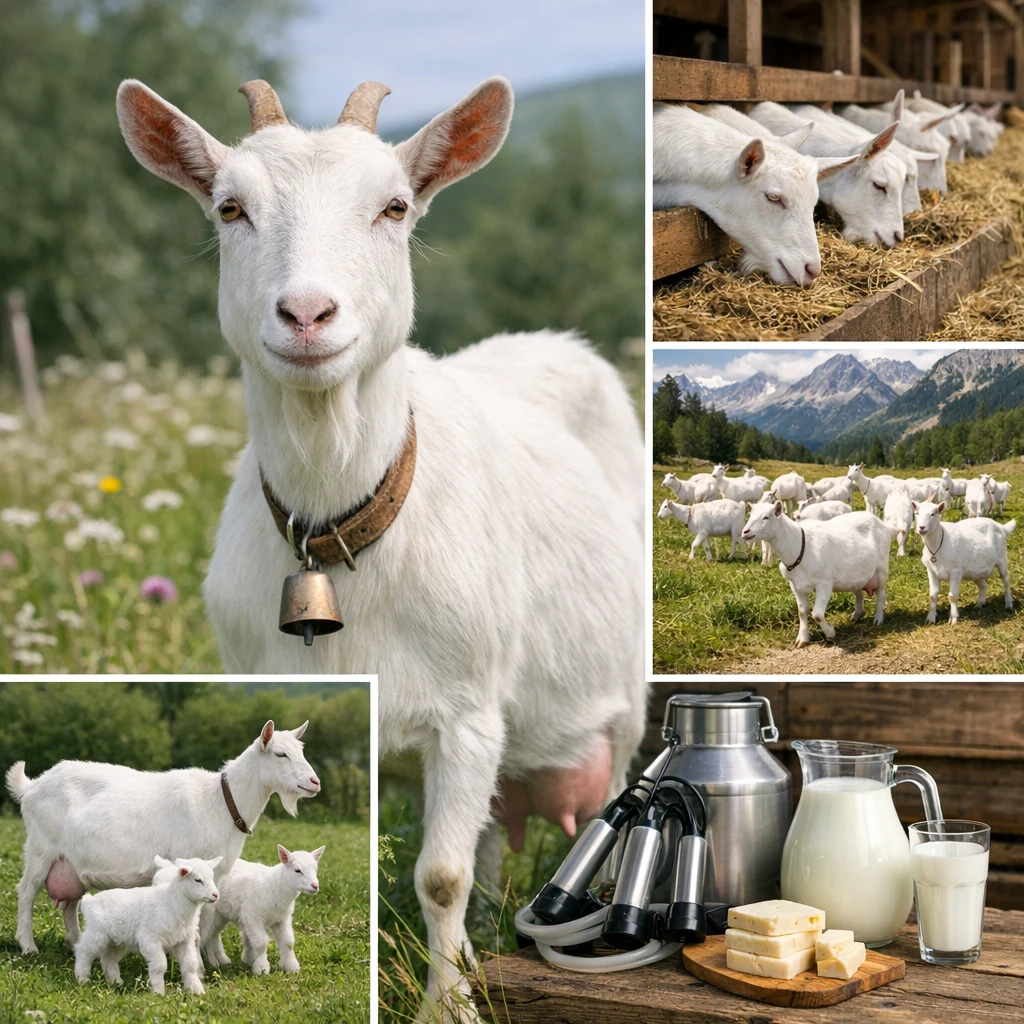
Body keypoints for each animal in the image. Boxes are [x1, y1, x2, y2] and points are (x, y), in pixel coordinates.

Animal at [116, 77, 645, 1014]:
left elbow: (438, 876)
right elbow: (448, 865)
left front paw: (448, 1006)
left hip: (622, 705)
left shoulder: (466, 713)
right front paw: (459, 984)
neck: (340, 534)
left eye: (394, 206)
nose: (306, 313)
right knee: (495, 839)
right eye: (230, 207)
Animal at [742, 500, 894, 647]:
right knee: (858, 593)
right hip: (855, 575)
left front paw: (830, 633)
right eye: (750, 515)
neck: (799, 547)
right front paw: (802, 639)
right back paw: (856, 615)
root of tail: (882, 525)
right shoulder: (795, 586)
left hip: (881, 569)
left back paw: (878, 619)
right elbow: (802, 612)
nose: (745, 531)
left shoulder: (824, 583)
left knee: (881, 594)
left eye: (766, 517)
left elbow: (817, 614)